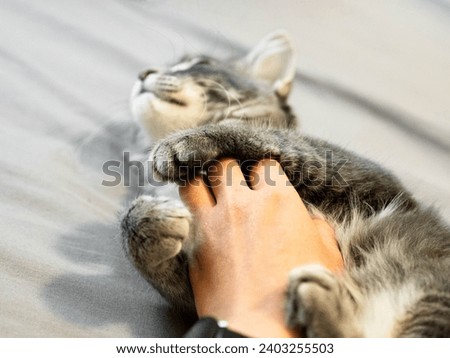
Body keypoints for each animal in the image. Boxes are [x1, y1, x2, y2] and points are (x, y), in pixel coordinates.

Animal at [120, 30, 450, 336]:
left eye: (200, 64)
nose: (143, 73)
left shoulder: (374, 181)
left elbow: (272, 136)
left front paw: (187, 139)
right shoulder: (201, 288)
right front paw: (147, 224)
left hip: (432, 287)